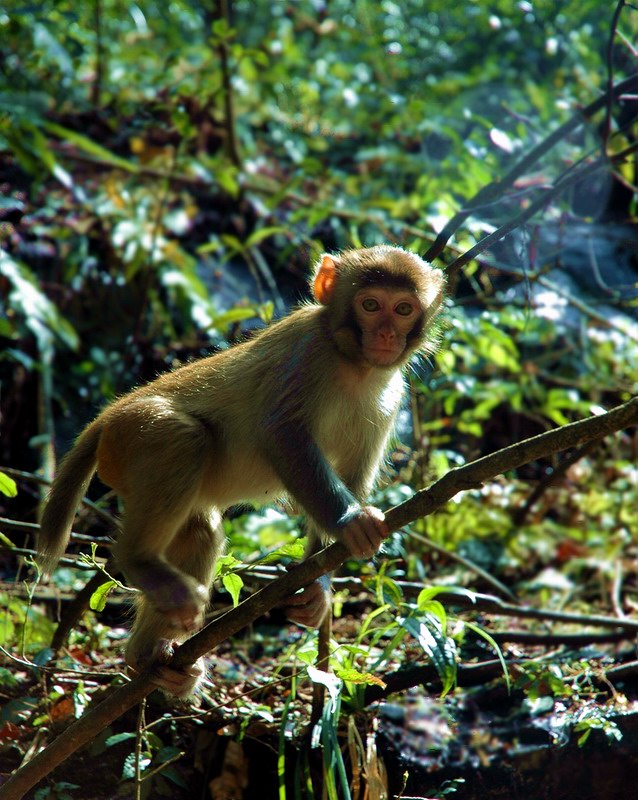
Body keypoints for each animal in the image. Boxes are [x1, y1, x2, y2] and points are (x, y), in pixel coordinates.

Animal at [37, 245, 448, 692]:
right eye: (370, 305)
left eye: (404, 309)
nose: (388, 335)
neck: (352, 363)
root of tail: (109, 416)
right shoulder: (307, 352)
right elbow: (282, 435)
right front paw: (349, 520)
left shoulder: (391, 397)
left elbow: (354, 476)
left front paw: (318, 586)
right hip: (133, 436)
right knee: (184, 437)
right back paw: (139, 562)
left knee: (199, 532)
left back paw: (150, 655)